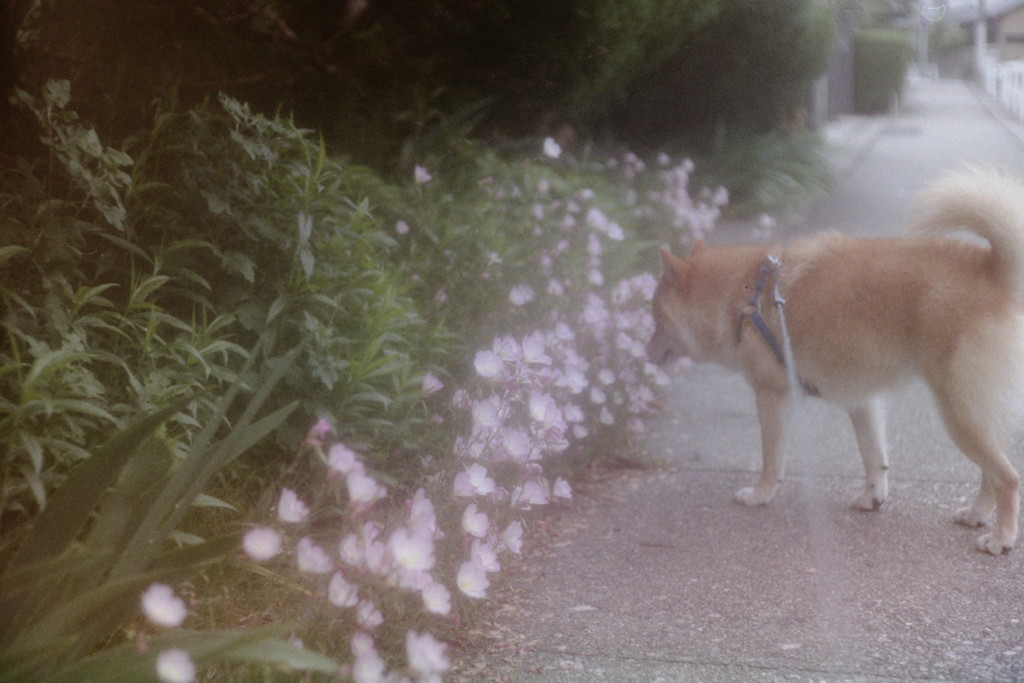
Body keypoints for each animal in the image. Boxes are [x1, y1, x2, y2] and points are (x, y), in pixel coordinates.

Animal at [651, 166, 1024, 557]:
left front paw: (761, 494)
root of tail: (992, 270)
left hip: (959, 413)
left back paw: (1001, 538)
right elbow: (873, 457)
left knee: (1007, 477)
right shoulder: (862, 401)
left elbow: (771, 459)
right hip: (975, 413)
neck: (745, 296)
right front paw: (873, 497)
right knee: (991, 472)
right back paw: (977, 514)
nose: (646, 351)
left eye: (654, 316)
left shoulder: (771, 398)